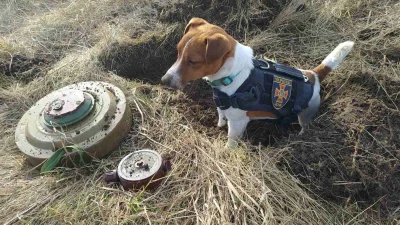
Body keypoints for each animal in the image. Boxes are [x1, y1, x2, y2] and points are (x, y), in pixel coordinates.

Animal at [161, 18, 354, 148]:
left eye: (193, 61)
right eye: (178, 52)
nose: (164, 80)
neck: (232, 74)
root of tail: (313, 75)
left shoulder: (237, 123)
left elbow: (231, 140)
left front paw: (227, 151)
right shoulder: (222, 106)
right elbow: (221, 116)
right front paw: (218, 125)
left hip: (306, 114)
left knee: (305, 126)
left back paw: (300, 137)